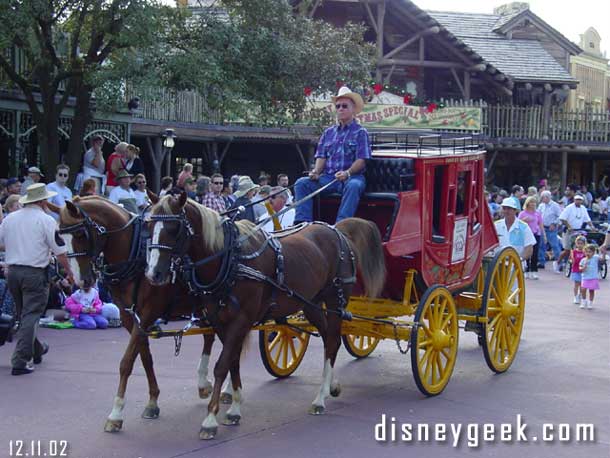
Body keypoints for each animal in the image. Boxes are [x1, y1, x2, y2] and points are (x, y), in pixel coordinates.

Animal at [58, 197, 218, 432]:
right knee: (212, 336)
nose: (80, 280)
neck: (135, 257)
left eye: (80, 234)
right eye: (60, 237)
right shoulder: (130, 317)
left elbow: (126, 362)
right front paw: (152, 402)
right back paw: (205, 385)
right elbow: (144, 358)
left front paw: (116, 413)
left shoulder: (149, 312)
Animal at [145, 194, 382, 440]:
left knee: (333, 340)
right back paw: (331, 386)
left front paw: (210, 419)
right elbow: (232, 362)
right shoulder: (221, 321)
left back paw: (320, 398)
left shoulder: (241, 319)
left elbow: (222, 365)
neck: (231, 260)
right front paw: (234, 409)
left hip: (335, 300)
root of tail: (337, 230)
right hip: (311, 303)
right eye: (148, 226)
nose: (153, 273)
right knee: (328, 340)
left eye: (174, 229)